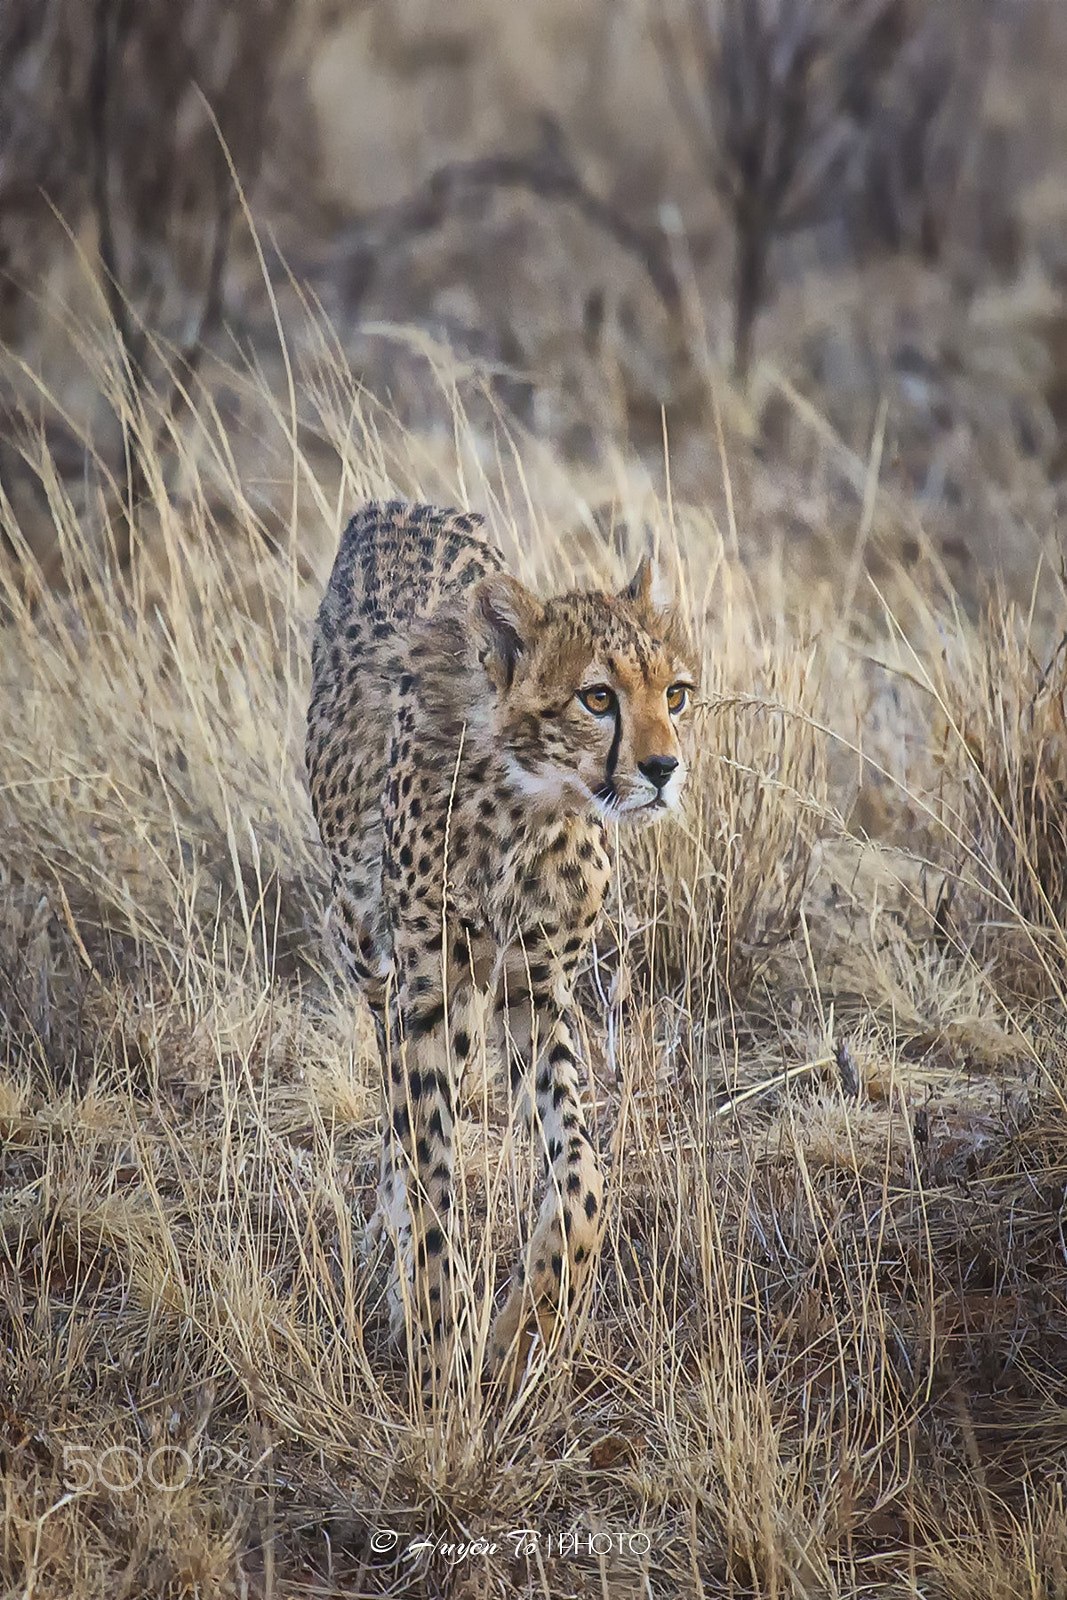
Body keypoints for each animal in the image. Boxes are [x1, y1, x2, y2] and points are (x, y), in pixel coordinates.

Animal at [306, 500, 698, 1390]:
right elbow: (428, 1171)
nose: (663, 768)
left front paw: (529, 1326)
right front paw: (436, 1341)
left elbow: (583, 1177)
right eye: (596, 697)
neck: (533, 802)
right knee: (396, 1104)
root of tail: (401, 504)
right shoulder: (428, 989)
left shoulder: (536, 990)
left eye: (676, 693)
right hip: (369, 942)